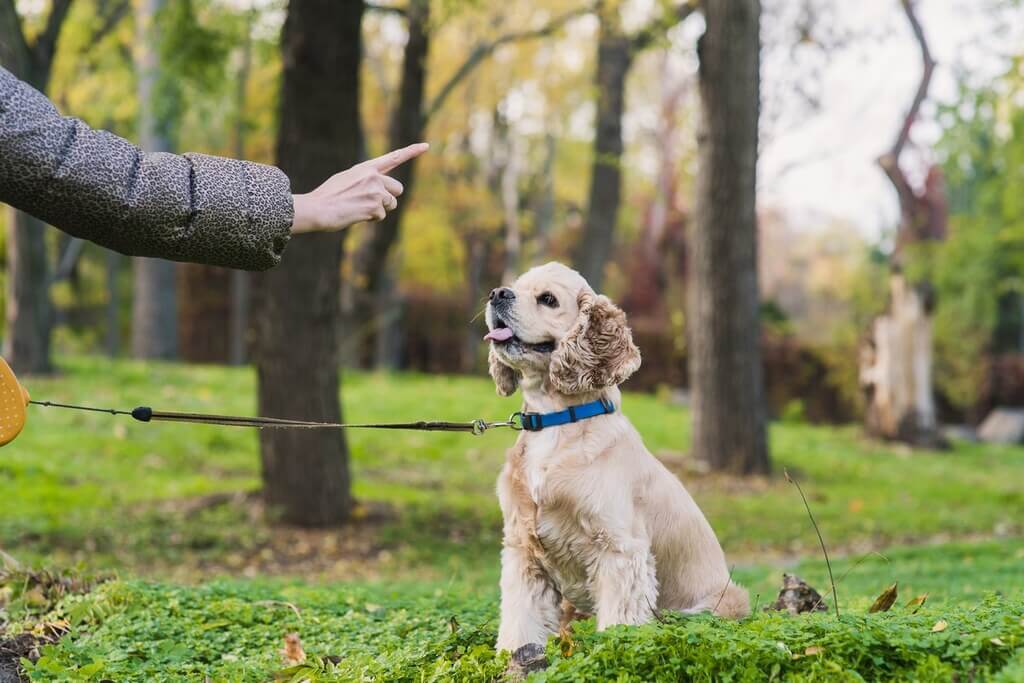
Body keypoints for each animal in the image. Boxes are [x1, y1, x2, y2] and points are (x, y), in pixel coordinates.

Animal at [483, 260, 749, 651]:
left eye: (547, 299)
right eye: (514, 286)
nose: (497, 293)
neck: (555, 421)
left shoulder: (619, 549)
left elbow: (619, 622)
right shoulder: (523, 549)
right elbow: (521, 618)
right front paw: (515, 654)